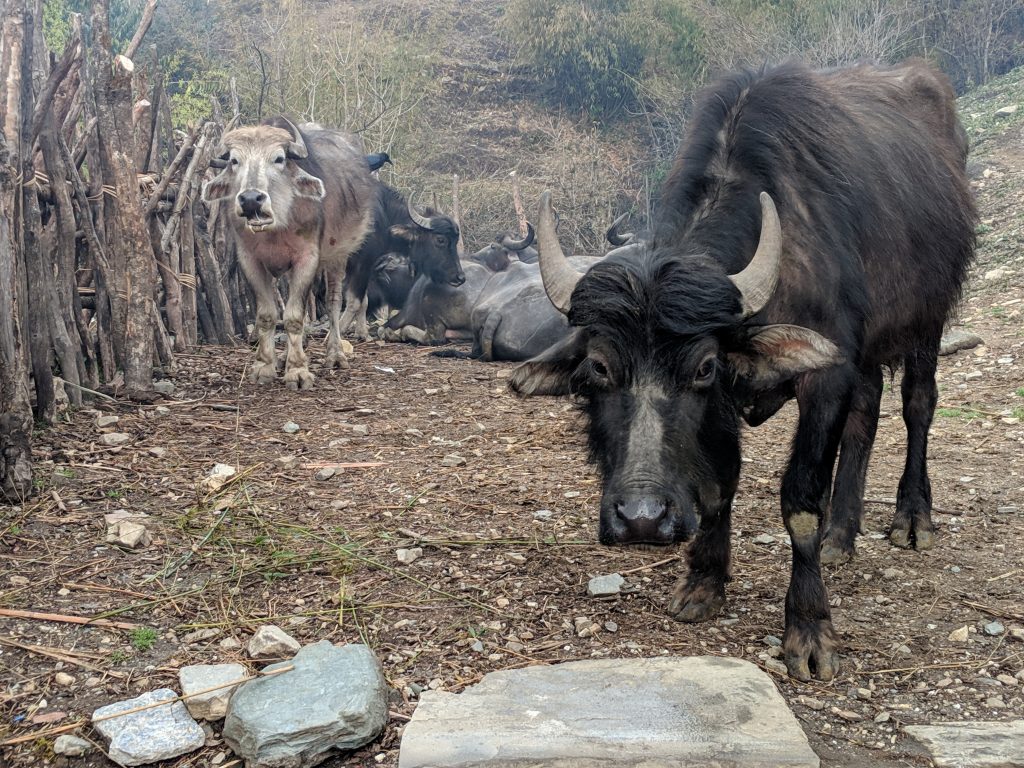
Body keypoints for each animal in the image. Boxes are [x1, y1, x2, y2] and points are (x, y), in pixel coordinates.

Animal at [201, 118, 374, 391]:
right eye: (235, 160)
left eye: (279, 159)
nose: (251, 199)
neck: (277, 225)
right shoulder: (250, 260)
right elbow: (266, 315)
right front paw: (264, 365)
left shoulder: (308, 258)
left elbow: (294, 317)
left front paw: (298, 371)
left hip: (339, 255)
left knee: (334, 302)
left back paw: (335, 354)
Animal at [512, 61, 974, 684]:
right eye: (599, 367)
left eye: (703, 366)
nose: (641, 519)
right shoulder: (739, 400)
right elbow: (717, 485)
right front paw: (704, 582)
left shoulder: (820, 379)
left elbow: (800, 500)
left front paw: (809, 628)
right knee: (867, 411)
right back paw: (841, 535)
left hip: (928, 318)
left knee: (917, 404)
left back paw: (912, 520)